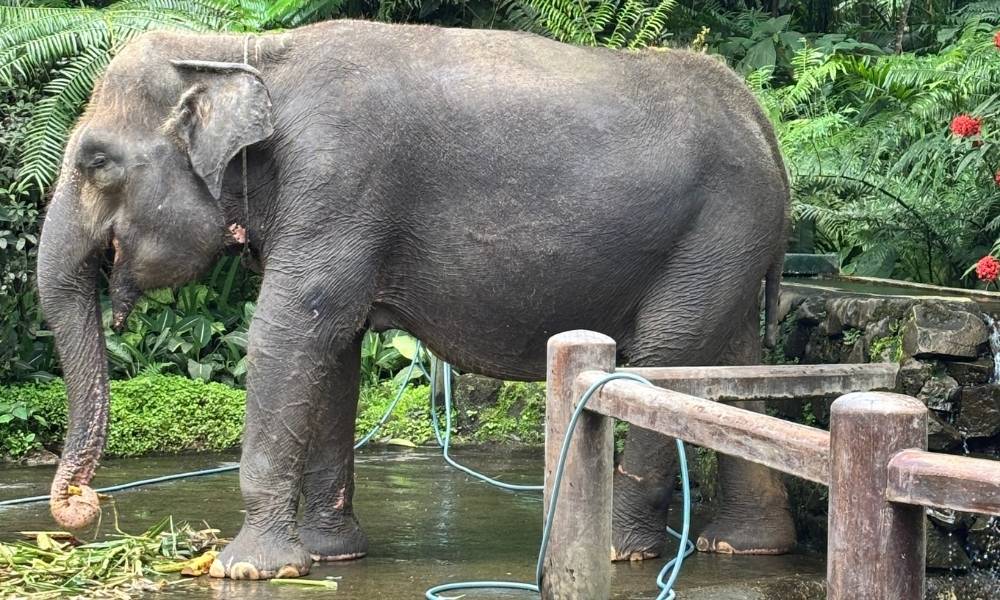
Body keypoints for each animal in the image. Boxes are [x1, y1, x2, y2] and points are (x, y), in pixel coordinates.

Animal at [36, 19, 792, 580]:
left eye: (95, 162)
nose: (79, 507)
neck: (246, 51)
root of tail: (757, 113)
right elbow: (335, 351)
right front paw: (330, 557)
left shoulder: (339, 182)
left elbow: (291, 330)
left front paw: (246, 569)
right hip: (729, 244)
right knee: (730, 360)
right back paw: (743, 546)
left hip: (718, 227)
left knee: (666, 355)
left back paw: (620, 549)